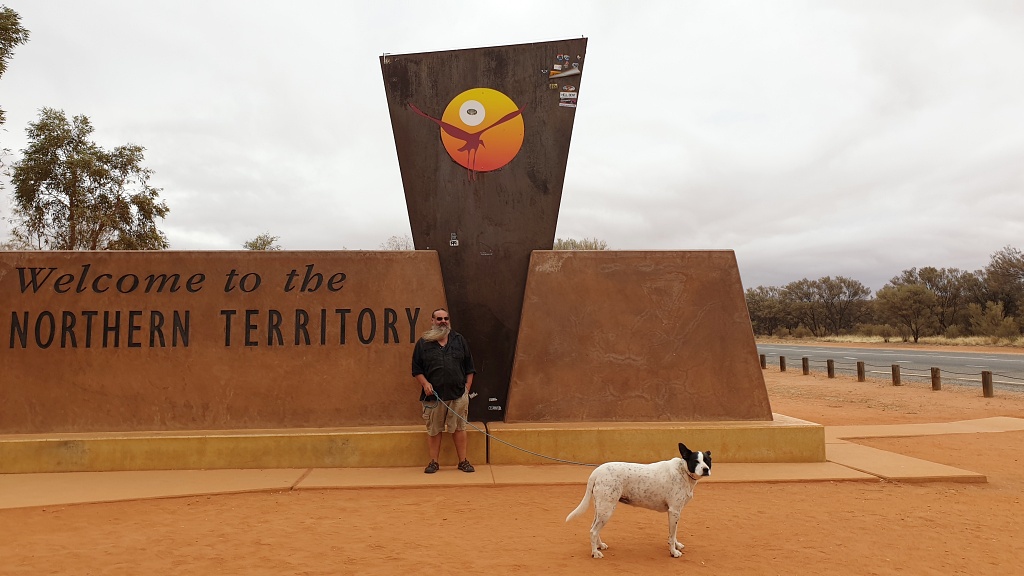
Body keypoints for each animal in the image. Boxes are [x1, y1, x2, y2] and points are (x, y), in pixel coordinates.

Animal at [569, 438, 712, 557]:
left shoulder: (674, 512)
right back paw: (595, 553)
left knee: (594, 528)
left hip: (601, 509)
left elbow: (673, 533)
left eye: (707, 461)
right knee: (593, 531)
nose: (706, 469)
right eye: (695, 461)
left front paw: (676, 546)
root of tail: (597, 471)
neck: (683, 471)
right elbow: (672, 535)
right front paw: (673, 552)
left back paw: (599, 546)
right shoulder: (674, 511)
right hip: (607, 510)